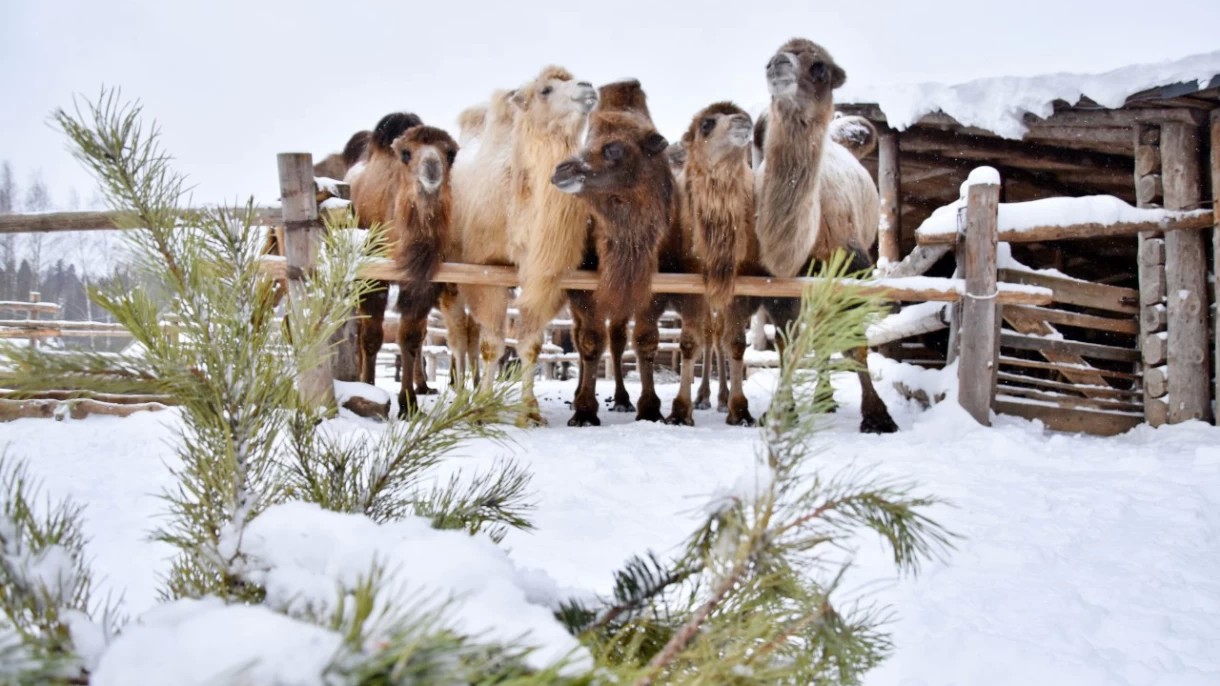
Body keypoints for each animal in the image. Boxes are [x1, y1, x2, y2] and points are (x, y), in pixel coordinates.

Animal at [751, 37, 897, 429]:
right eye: (772, 55)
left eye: (819, 68)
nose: (776, 63)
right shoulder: (778, 287)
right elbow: (786, 345)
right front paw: (782, 411)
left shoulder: (853, 269)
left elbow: (855, 342)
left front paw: (878, 415)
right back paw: (824, 398)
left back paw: (827, 399)